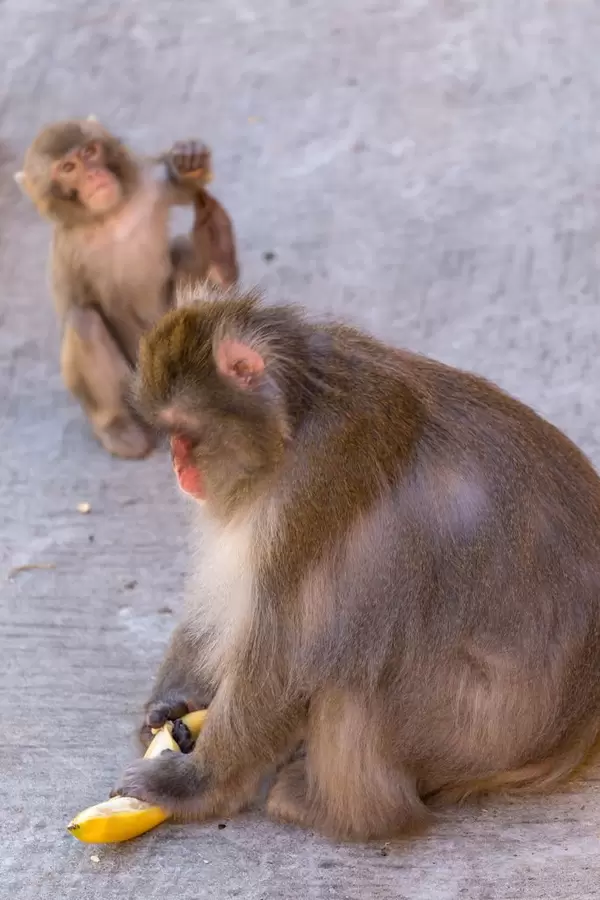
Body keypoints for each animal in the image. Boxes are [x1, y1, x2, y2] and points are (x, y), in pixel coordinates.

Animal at [15, 117, 239, 459]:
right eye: (68, 167)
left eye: (90, 152)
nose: (94, 175)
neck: (111, 217)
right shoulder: (67, 254)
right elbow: (78, 307)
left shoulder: (149, 183)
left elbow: (184, 189)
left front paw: (188, 161)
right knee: (84, 321)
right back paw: (117, 427)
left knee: (183, 254)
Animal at [111, 286, 600, 841]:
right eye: (168, 432)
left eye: (184, 430)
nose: (177, 464)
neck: (299, 414)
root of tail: (569, 737)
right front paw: (176, 701)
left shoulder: (316, 486)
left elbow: (283, 652)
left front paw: (195, 785)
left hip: (474, 734)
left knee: (354, 648)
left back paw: (349, 812)